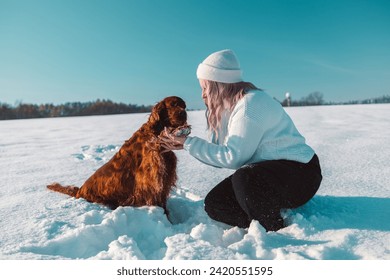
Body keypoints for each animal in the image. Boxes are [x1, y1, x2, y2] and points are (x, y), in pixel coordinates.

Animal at [47, 96, 190, 212]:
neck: (156, 133)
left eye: (184, 106)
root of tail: (80, 190)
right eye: (173, 105)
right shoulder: (151, 180)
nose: (184, 113)